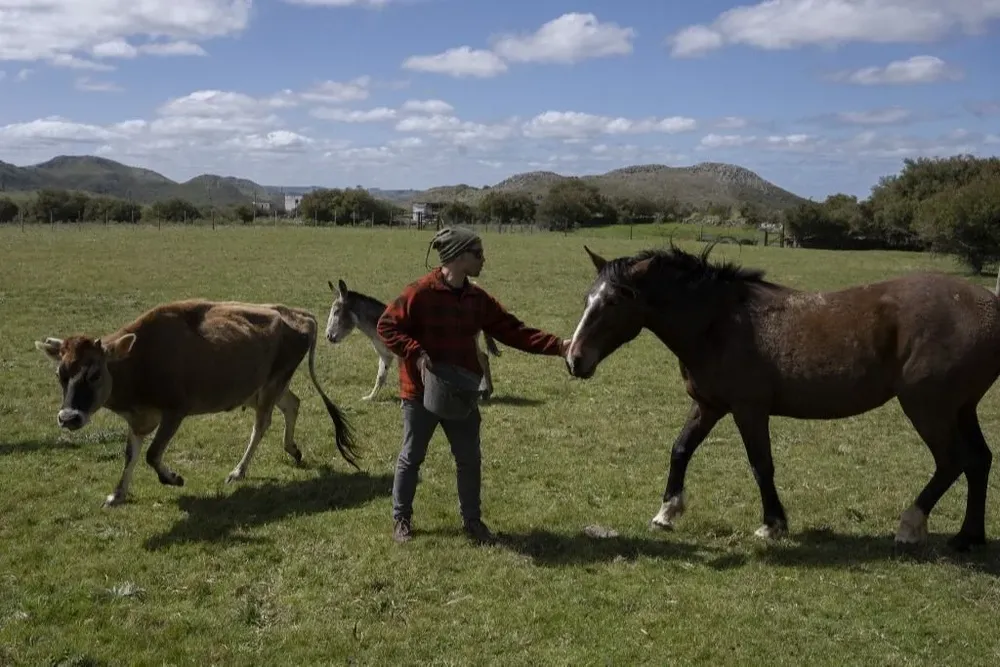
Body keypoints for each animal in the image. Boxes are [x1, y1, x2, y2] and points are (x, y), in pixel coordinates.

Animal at [324, 279, 502, 401]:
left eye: (336, 312)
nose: (328, 336)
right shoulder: (385, 356)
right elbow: (380, 377)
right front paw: (371, 397)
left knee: (481, 360)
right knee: (483, 359)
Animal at [564, 242, 999, 552]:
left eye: (614, 301)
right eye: (586, 298)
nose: (574, 358)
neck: (719, 323)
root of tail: (989, 304)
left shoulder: (749, 410)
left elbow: (761, 465)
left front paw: (772, 525)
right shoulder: (709, 406)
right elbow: (680, 449)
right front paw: (667, 512)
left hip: (928, 408)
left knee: (951, 462)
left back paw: (910, 525)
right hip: (962, 408)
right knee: (978, 460)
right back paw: (968, 537)